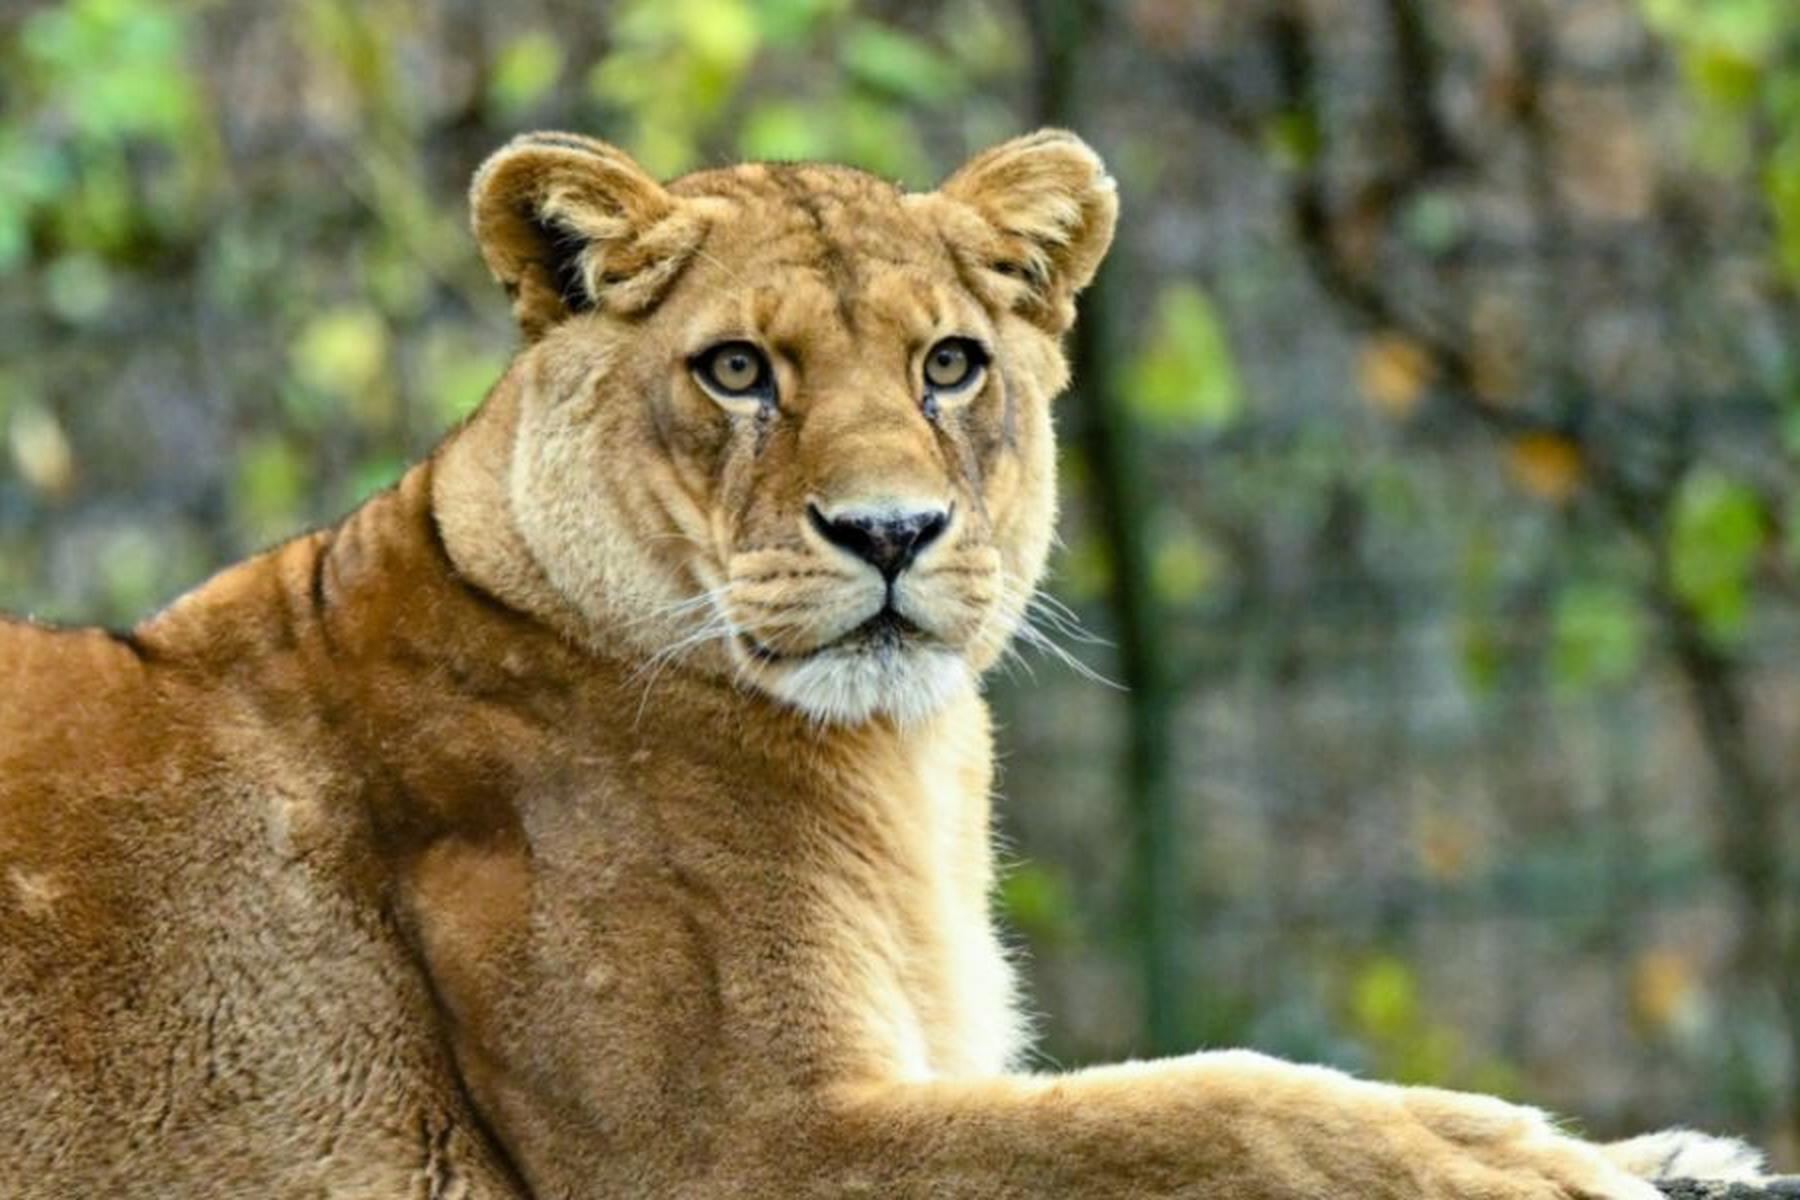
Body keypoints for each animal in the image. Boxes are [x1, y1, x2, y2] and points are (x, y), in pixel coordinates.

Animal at [0, 129, 1773, 1197]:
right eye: (735, 371)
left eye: (950, 365)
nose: (891, 532)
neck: (900, 759)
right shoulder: (728, 1142)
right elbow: (1202, 1109)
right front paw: (1531, 1166)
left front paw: (1672, 1156)